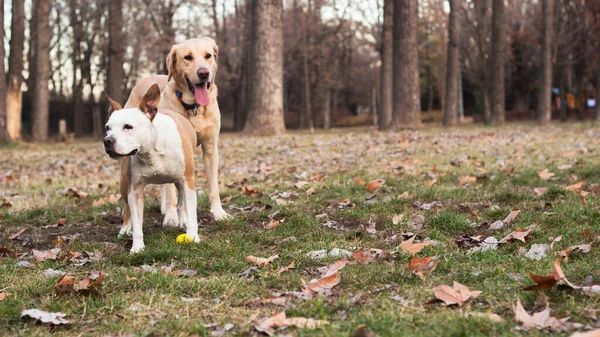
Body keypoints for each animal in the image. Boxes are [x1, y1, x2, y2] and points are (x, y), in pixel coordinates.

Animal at [102, 84, 198, 252]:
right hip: (124, 184)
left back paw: (182, 221)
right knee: (127, 208)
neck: (151, 150)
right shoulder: (135, 190)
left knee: (181, 202)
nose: (107, 140)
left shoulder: (188, 181)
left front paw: (193, 237)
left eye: (128, 127)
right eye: (108, 128)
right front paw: (137, 248)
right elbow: (136, 221)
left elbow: (191, 211)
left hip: (180, 181)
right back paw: (125, 229)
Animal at [121, 37, 227, 234]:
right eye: (188, 57)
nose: (203, 73)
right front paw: (171, 218)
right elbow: (171, 191)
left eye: (208, 55)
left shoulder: (210, 148)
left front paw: (218, 213)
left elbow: (213, 185)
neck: (193, 107)